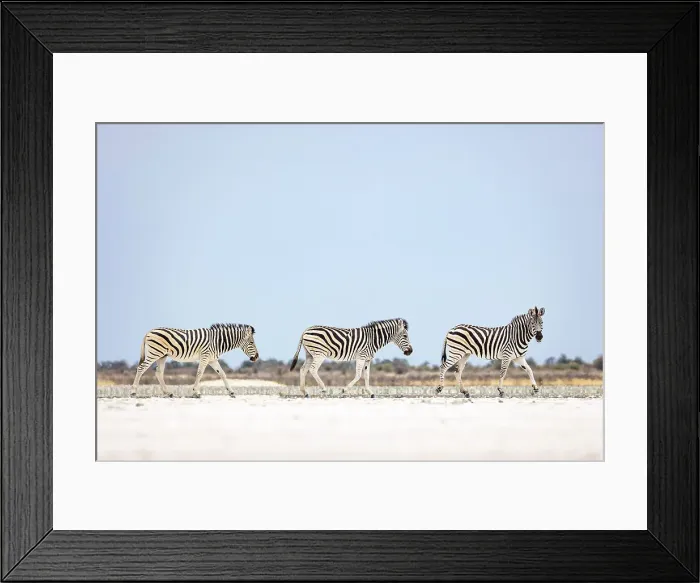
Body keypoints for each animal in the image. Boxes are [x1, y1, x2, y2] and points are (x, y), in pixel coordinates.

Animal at [130, 323, 259, 398]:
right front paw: (196, 392)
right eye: (252, 342)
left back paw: (168, 393)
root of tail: (149, 331)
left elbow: (222, 374)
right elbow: (199, 373)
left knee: (158, 373)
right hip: (154, 353)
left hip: (162, 356)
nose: (256, 357)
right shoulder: (205, 356)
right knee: (141, 368)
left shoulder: (212, 359)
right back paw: (133, 392)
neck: (217, 341)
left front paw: (231, 392)